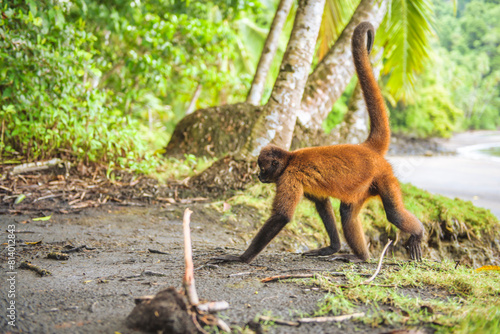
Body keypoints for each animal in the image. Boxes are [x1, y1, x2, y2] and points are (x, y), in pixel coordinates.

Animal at [215, 22, 422, 264]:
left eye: (262, 167)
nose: (258, 176)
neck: (290, 158)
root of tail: (366, 147)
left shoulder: (289, 177)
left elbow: (282, 216)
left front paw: (240, 258)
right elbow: (322, 203)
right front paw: (332, 247)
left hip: (382, 175)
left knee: (393, 214)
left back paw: (417, 234)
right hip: (364, 186)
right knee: (347, 213)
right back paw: (362, 256)